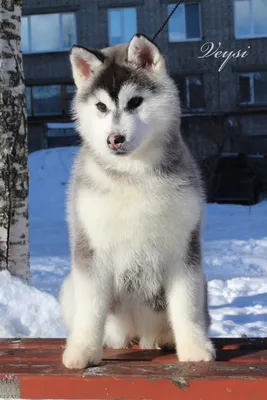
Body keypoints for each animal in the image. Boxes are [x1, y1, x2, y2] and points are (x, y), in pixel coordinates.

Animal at [60, 34, 216, 368]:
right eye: (101, 106)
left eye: (135, 102)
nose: (114, 139)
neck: (133, 174)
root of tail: (137, 333)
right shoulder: (90, 247)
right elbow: (90, 308)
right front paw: (82, 351)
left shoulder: (184, 246)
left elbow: (186, 305)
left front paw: (194, 348)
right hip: (69, 286)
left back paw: (166, 338)